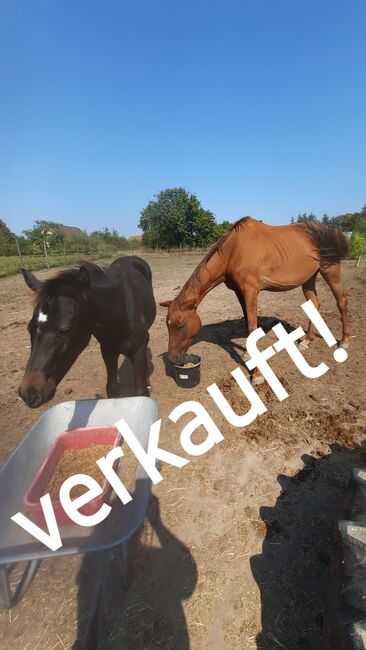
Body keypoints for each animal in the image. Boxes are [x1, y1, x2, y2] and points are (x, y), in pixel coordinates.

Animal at [19, 254, 155, 402]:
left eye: (66, 329)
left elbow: (141, 391)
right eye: (29, 328)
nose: (28, 394)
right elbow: (112, 389)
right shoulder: (108, 350)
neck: (122, 311)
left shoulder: (138, 349)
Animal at [162, 215, 350, 382]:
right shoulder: (239, 292)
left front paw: (257, 375)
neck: (233, 251)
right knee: (315, 304)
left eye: (180, 325)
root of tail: (331, 230)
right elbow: (247, 322)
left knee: (341, 302)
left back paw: (344, 341)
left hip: (330, 271)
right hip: (309, 278)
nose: (172, 359)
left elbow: (252, 328)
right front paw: (247, 354)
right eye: (168, 325)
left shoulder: (251, 292)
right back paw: (307, 341)